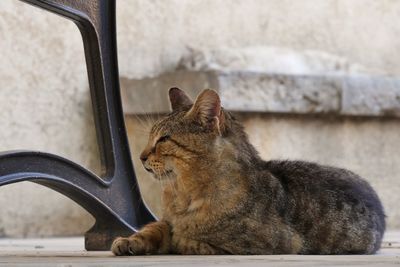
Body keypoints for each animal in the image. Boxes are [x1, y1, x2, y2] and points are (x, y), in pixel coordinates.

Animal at [111, 88, 386, 255]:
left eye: (164, 139)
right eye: (150, 138)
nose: (141, 156)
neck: (184, 193)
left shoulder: (273, 244)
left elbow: (189, 241)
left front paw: (179, 238)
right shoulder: (165, 220)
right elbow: (154, 228)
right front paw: (130, 241)